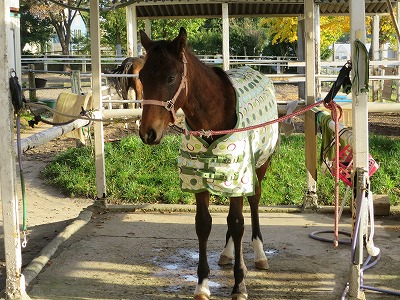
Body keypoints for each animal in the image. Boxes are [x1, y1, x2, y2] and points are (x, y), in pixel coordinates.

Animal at [139, 27, 280, 298]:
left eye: (171, 77)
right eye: (141, 76)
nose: (148, 133)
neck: (213, 118)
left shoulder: (239, 176)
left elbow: (237, 224)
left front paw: (239, 285)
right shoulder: (198, 181)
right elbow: (204, 224)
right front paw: (202, 284)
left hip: (260, 165)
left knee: (254, 202)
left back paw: (259, 255)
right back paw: (228, 254)